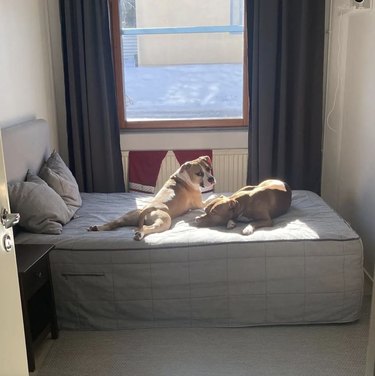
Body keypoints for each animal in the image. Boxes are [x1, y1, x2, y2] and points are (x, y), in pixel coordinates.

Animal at [88, 156, 216, 241]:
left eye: (208, 168)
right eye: (199, 173)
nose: (211, 179)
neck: (184, 177)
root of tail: (148, 208)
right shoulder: (200, 203)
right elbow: (210, 198)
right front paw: (215, 196)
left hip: (129, 216)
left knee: (115, 223)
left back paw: (96, 227)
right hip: (164, 221)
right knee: (145, 227)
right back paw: (139, 234)